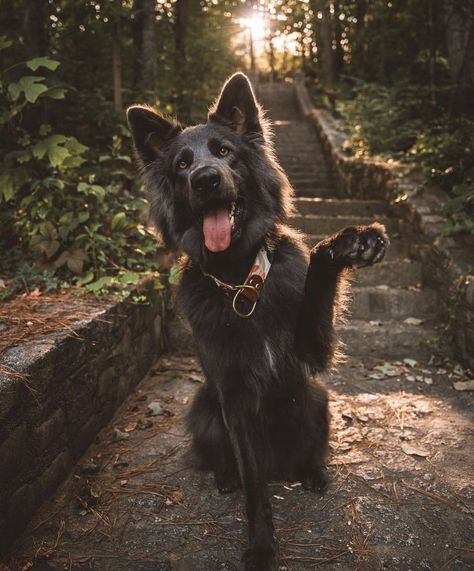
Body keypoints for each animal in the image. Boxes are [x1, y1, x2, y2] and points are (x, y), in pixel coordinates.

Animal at [127, 73, 388, 568]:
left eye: (224, 151)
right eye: (182, 164)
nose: (206, 179)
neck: (240, 284)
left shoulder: (311, 352)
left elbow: (320, 271)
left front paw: (350, 243)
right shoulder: (234, 398)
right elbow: (254, 486)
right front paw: (262, 545)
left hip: (317, 399)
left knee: (311, 450)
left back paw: (313, 473)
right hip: (203, 408)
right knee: (225, 459)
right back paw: (225, 477)